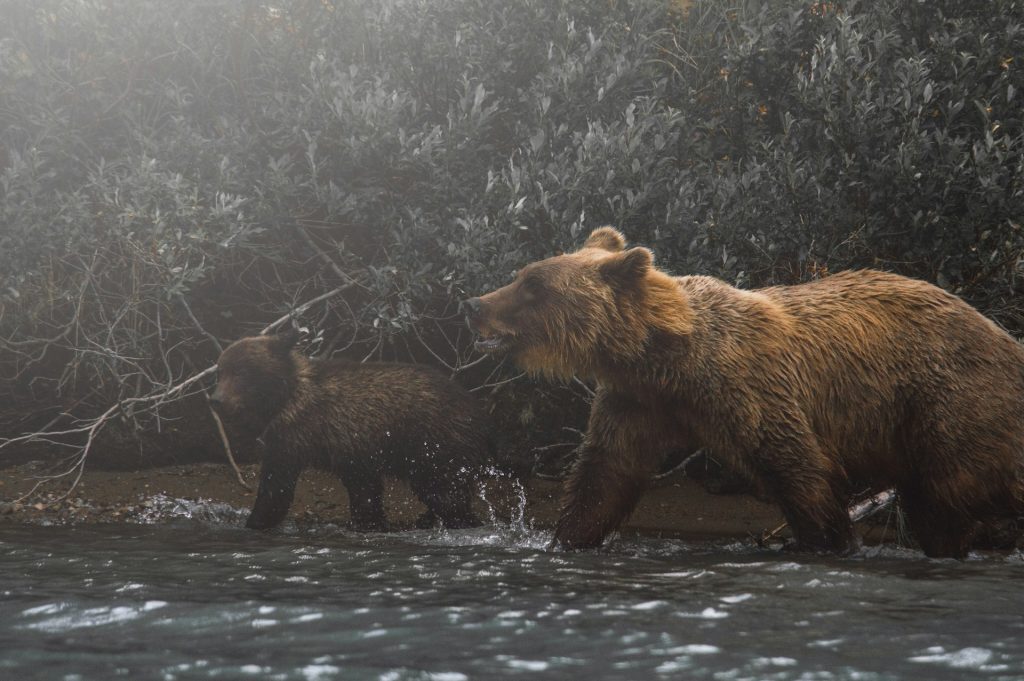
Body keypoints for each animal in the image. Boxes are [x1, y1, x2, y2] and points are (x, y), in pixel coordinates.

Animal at [210, 330, 490, 531]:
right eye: (220, 371)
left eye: (242, 372)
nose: (216, 400)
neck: (284, 399)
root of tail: (478, 409)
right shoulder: (351, 452)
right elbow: (365, 493)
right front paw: (370, 522)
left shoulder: (296, 438)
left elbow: (276, 487)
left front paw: (254, 521)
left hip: (435, 445)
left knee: (446, 493)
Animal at [464, 226, 1024, 558]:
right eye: (522, 275)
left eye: (533, 286)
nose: (474, 304)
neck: (665, 355)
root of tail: (1004, 336)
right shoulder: (638, 400)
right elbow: (606, 473)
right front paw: (564, 539)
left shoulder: (748, 385)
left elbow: (797, 466)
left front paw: (830, 542)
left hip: (949, 402)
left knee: (946, 496)